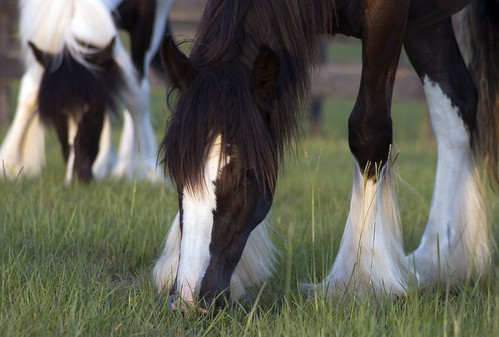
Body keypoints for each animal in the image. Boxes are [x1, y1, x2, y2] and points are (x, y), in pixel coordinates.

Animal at [0, 0, 174, 182]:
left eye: (96, 112)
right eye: (55, 115)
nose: (76, 177)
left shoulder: (146, 19)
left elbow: (135, 96)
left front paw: (150, 171)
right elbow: (31, 92)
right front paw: (9, 163)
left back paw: (125, 166)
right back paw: (106, 164)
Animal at [154, 0, 498, 312]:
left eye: (247, 175)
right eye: (177, 172)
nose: (189, 299)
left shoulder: (388, 15)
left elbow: (368, 133)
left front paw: (359, 280)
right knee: (456, 109)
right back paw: (439, 260)